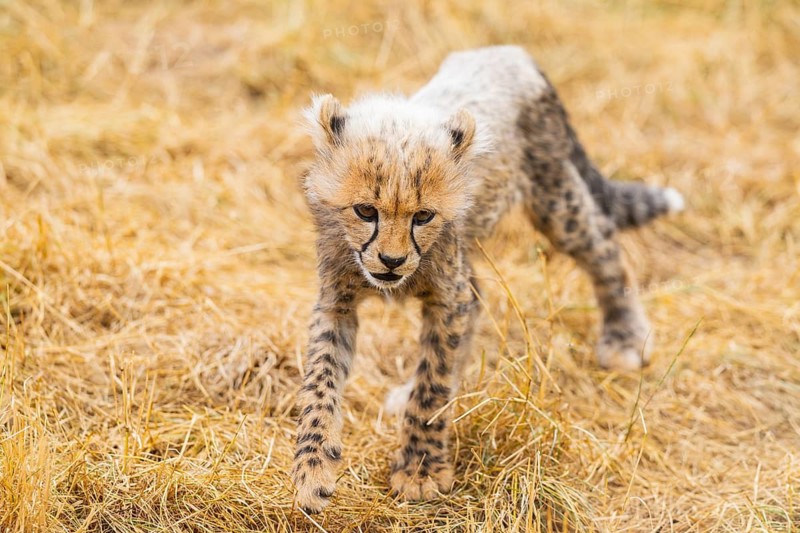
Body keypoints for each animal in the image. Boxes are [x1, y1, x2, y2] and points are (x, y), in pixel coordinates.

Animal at [291, 45, 684, 513]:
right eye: (366, 211)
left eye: (423, 216)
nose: (391, 261)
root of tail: (507, 52)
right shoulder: (337, 302)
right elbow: (320, 378)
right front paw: (313, 467)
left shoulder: (446, 297)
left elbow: (434, 380)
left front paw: (420, 469)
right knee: (479, 296)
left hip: (556, 201)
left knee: (603, 244)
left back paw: (625, 336)